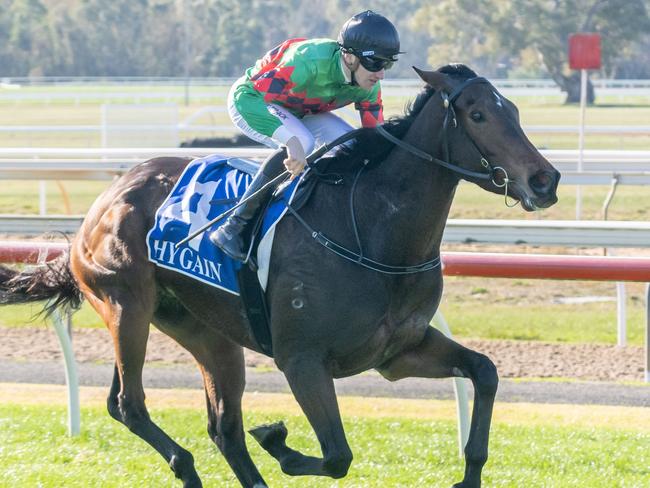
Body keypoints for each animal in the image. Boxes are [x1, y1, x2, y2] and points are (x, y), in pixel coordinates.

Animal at [0, 66, 556, 488]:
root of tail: (107, 197)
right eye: (478, 114)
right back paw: (186, 466)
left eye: (514, 111)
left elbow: (485, 370)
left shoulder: (398, 352)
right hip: (125, 305)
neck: (371, 230)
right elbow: (337, 455)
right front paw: (278, 442)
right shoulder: (301, 360)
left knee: (223, 427)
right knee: (128, 404)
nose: (545, 180)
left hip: (205, 330)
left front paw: (469, 474)